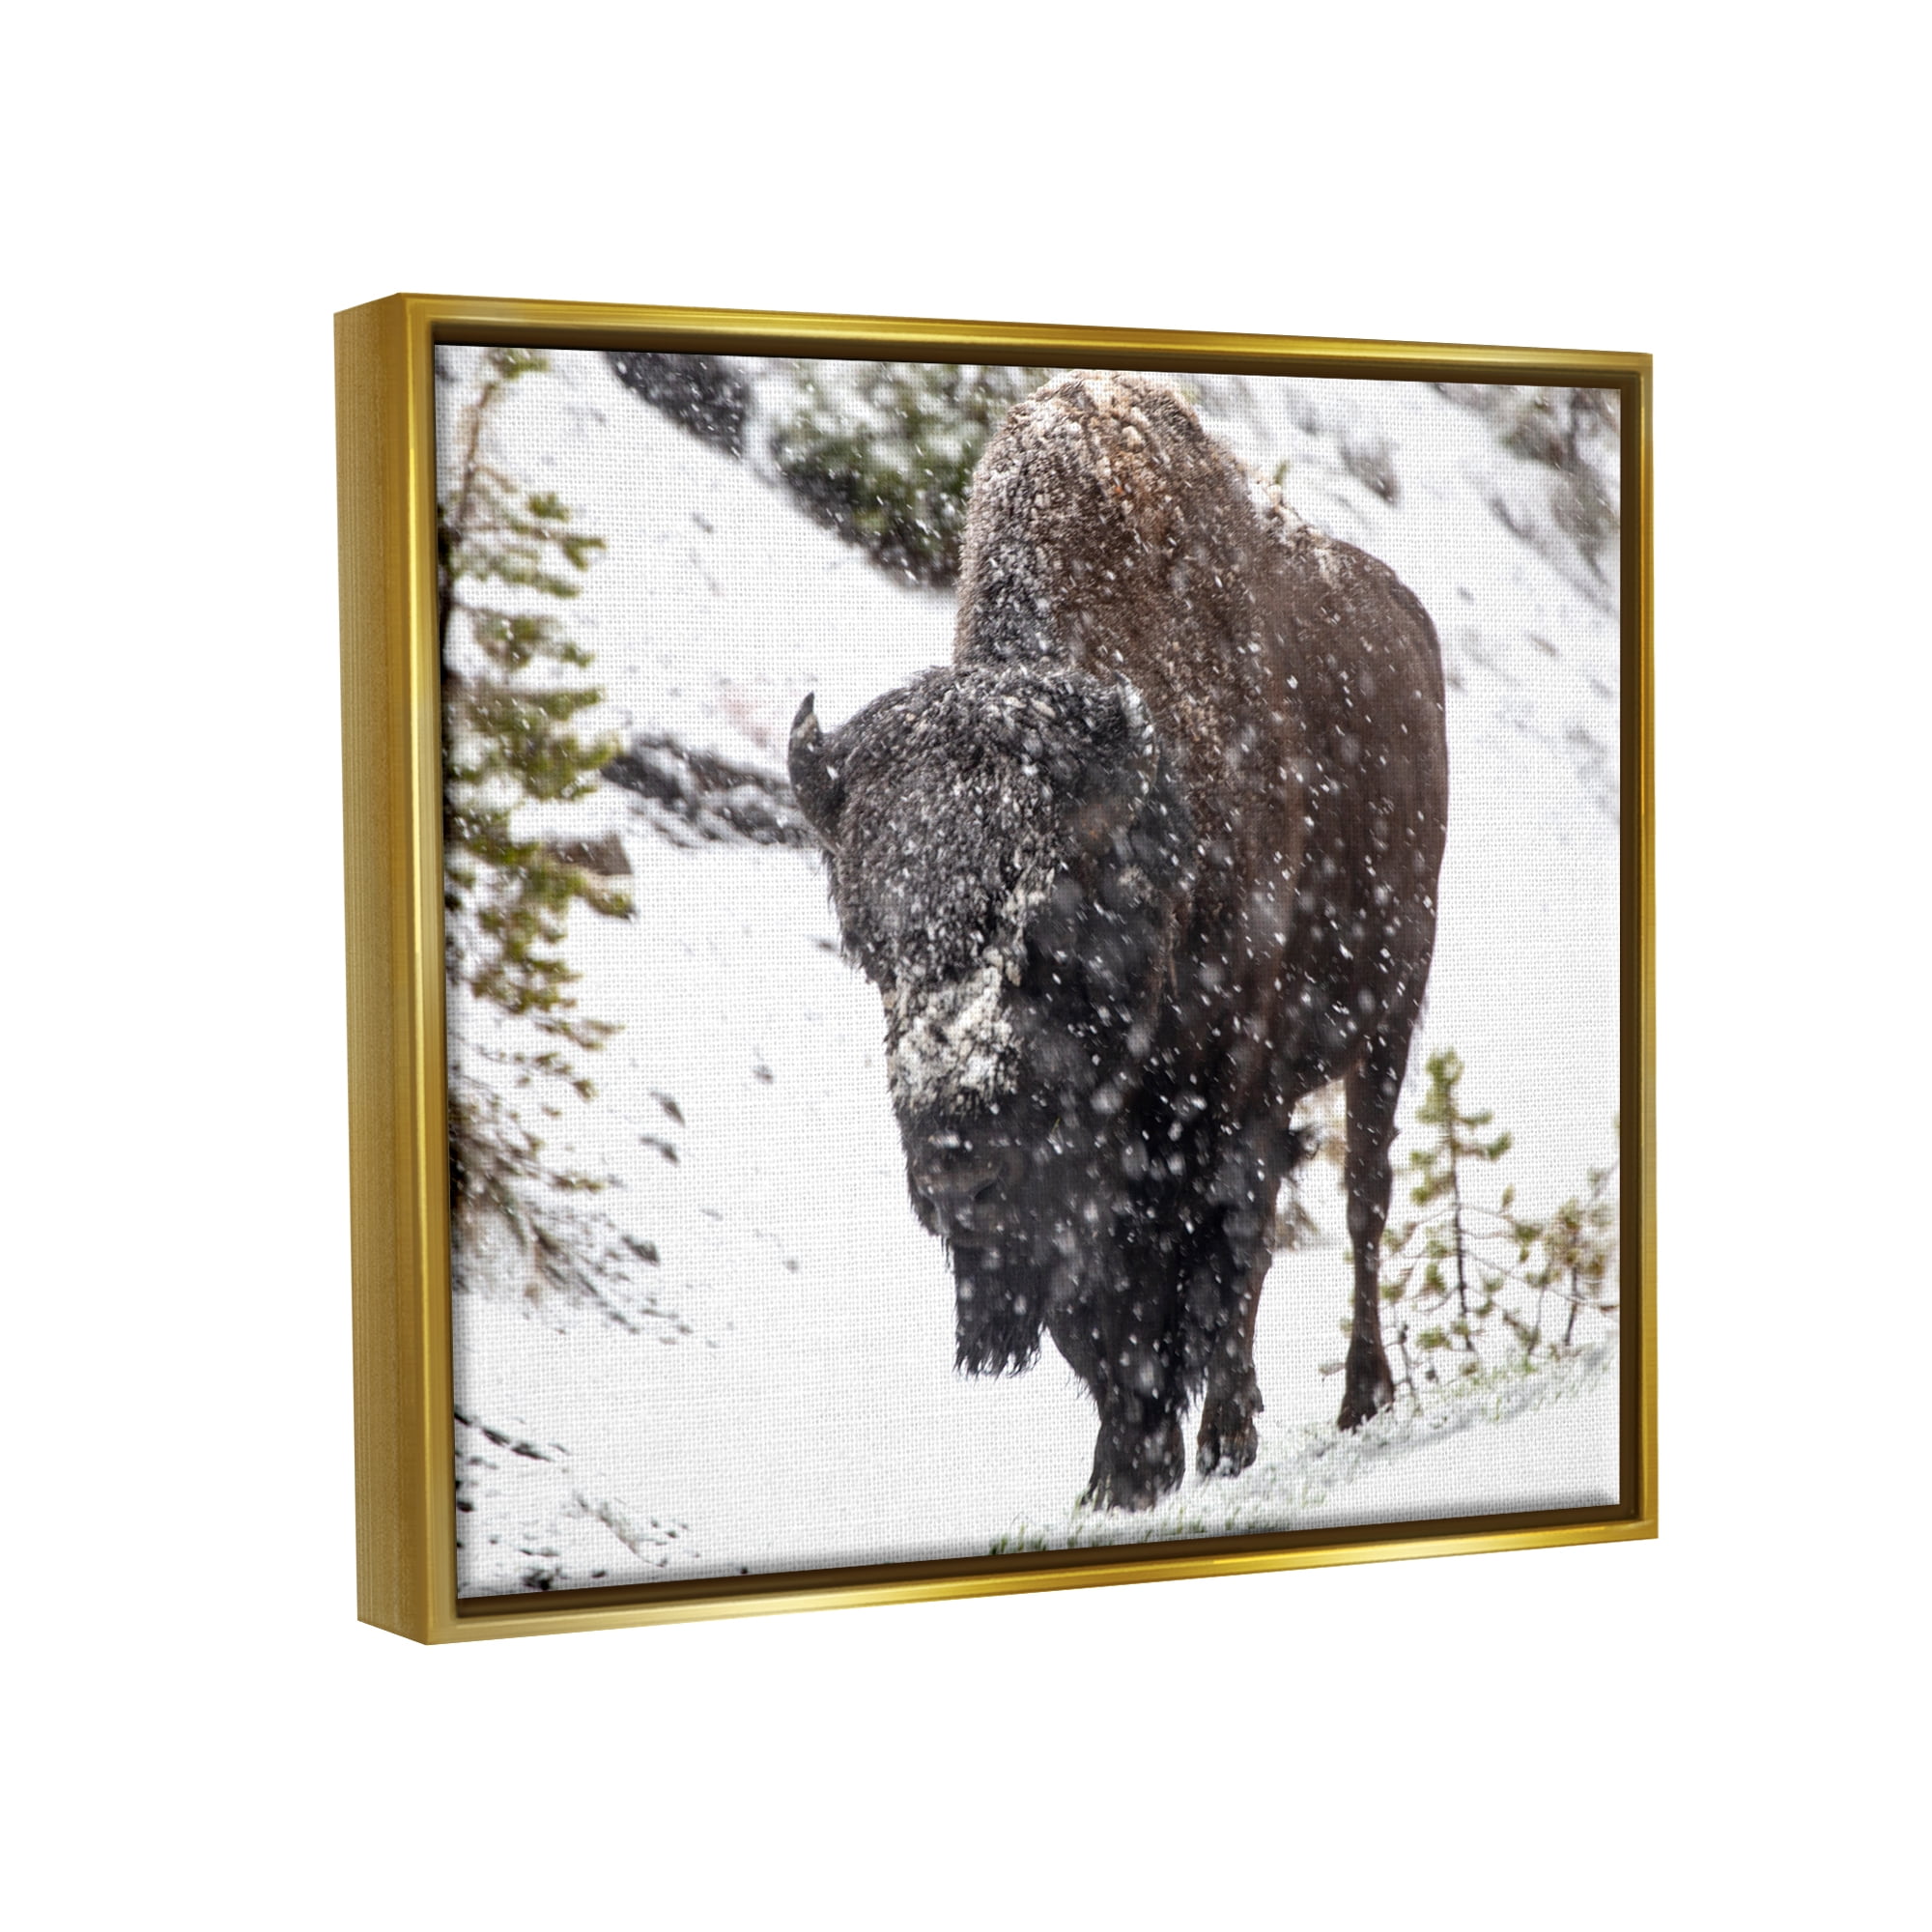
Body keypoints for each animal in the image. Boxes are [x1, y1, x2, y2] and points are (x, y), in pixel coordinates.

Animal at [789, 372, 1448, 1509]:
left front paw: (1198, 1448)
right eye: (869, 950)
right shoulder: (1089, 1180)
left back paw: (1359, 1398)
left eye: (1043, 932)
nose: (956, 1172)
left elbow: (1213, 1263)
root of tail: (1408, 625)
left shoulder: (1224, 1105)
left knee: (1360, 1204)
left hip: (1387, 1019)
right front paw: (1121, 1474)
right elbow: (1102, 1320)